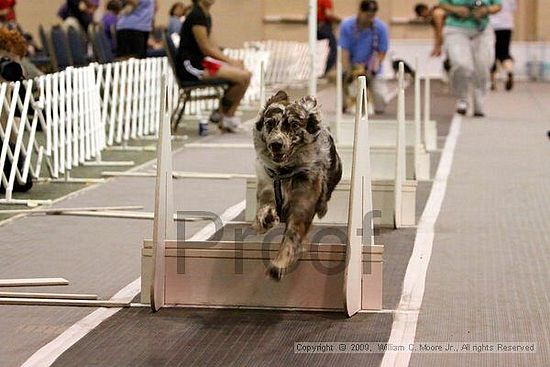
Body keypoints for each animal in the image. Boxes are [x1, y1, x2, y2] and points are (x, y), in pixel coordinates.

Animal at [253, 90, 340, 280]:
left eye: (293, 125)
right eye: (269, 123)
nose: (275, 144)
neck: (284, 172)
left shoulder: (302, 206)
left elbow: (291, 238)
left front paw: (278, 264)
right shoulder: (267, 189)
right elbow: (263, 209)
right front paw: (266, 219)